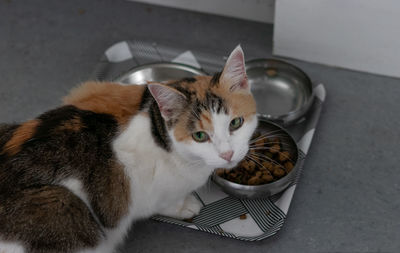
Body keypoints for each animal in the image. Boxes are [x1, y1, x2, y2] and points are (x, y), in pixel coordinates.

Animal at [0, 46, 256, 253]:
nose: (227, 154)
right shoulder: (140, 184)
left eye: (235, 123)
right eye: (200, 136)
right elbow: (161, 203)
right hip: (64, 205)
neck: (159, 132)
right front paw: (184, 206)